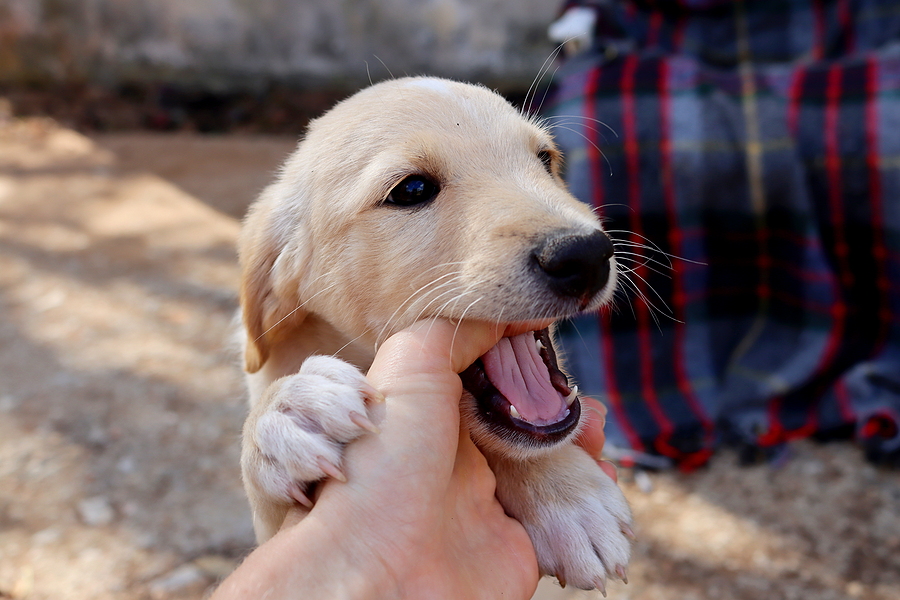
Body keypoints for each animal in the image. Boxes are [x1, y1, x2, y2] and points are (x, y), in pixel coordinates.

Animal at [239, 77, 632, 592]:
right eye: (412, 189)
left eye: (545, 160)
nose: (586, 255)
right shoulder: (271, 527)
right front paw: (283, 414)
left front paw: (567, 496)